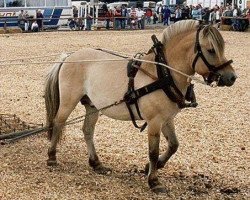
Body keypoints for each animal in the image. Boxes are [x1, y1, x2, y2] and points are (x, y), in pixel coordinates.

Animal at [44, 19, 236, 192]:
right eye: (211, 50)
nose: (232, 77)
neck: (162, 74)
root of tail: (69, 57)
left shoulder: (167, 119)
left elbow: (173, 145)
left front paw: (152, 167)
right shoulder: (154, 121)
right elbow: (153, 151)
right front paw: (154, 181)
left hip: (92, 106)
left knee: (87, 131)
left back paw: (96, 163)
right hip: (69, 101)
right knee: (58, 122)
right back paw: (52, 157)